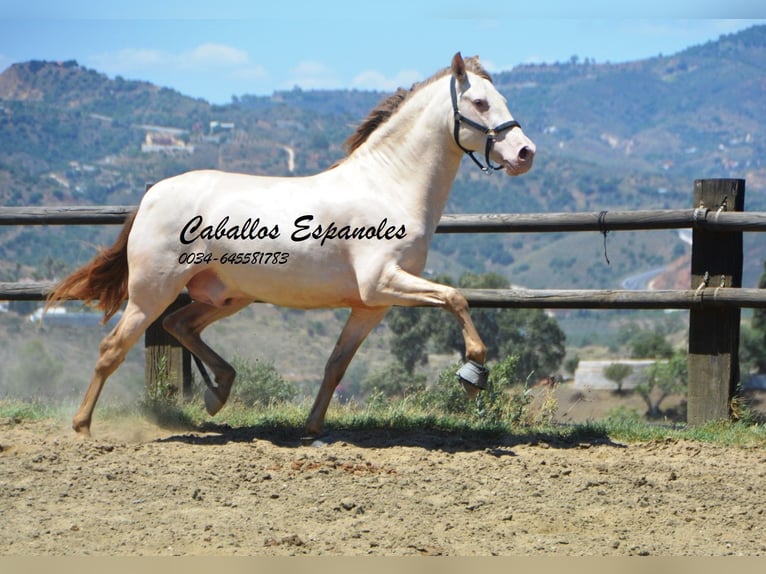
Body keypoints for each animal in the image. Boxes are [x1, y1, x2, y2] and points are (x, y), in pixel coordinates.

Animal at [45, 55, 536, 440]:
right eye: (480, 103)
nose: (525, 153)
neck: (388, 185)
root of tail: (152, 194)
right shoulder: (383, 283)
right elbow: (456, 298)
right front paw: (473, 373)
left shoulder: (372, 305)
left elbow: (336, 365)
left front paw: (313, 427)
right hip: (154, 291)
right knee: (114, 347)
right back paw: (83, 427)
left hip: (227, 295)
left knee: (181, 325)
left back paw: (218, 391)